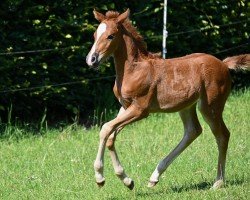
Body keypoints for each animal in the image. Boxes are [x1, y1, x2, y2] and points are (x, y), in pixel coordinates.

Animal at [86, 8, 250, 190]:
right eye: (94, 35)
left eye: (110, 36)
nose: (92, 60)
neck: (133, 70)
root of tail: (223, 64)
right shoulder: (125, 107)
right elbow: (111, 137)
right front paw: (127, 180)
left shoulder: (140, 110)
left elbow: (105, 128)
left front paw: (100, 177)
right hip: (186, 106)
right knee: (193, 131)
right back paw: (154, 177)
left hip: (210, 106)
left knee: (222, 135)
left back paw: (218, 182)